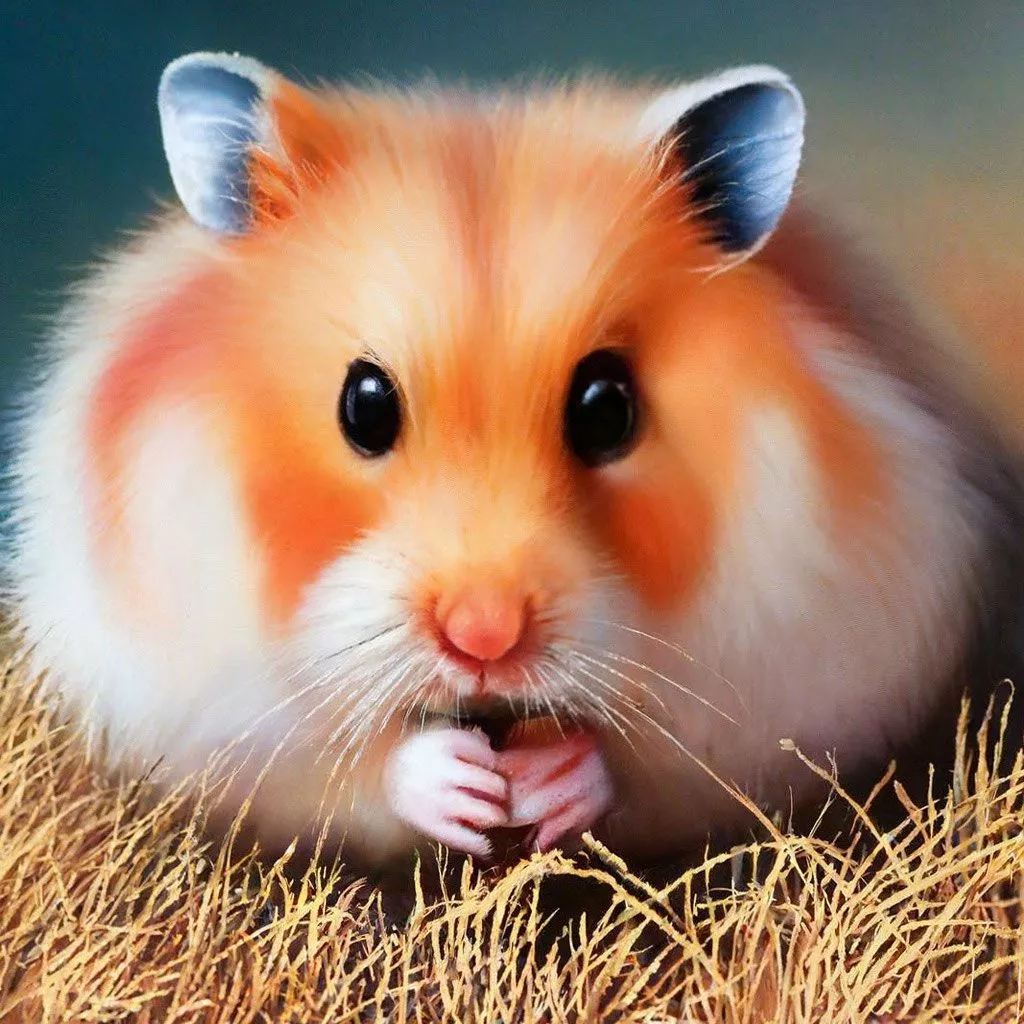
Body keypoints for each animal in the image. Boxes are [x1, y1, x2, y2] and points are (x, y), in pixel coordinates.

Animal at [7, 51, 1024, 867]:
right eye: (363, 405)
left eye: (608, 408)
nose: (486, 640)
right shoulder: (204, 691)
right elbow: (351, 758)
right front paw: (465, 786)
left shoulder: (801, 664)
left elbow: (658, 761)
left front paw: (545, 783)